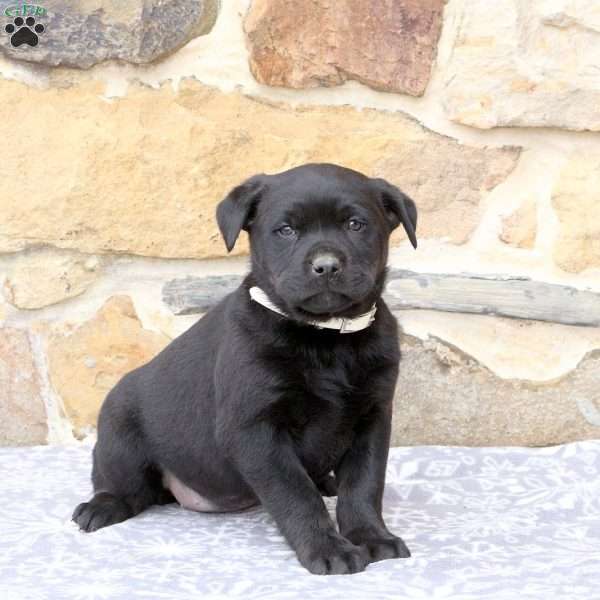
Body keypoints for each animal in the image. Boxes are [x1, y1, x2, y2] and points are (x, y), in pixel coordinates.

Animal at [72, 162, 418, 576]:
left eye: (355, 224)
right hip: (119, 437)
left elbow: (364, 486)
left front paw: (371, 536)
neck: (325, 338)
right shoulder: (255, 430)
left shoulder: (372, 419)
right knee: (124, 486)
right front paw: (328, 548)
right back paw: (101, 506)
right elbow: (296, 495)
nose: (326, 266)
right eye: (286, 230)